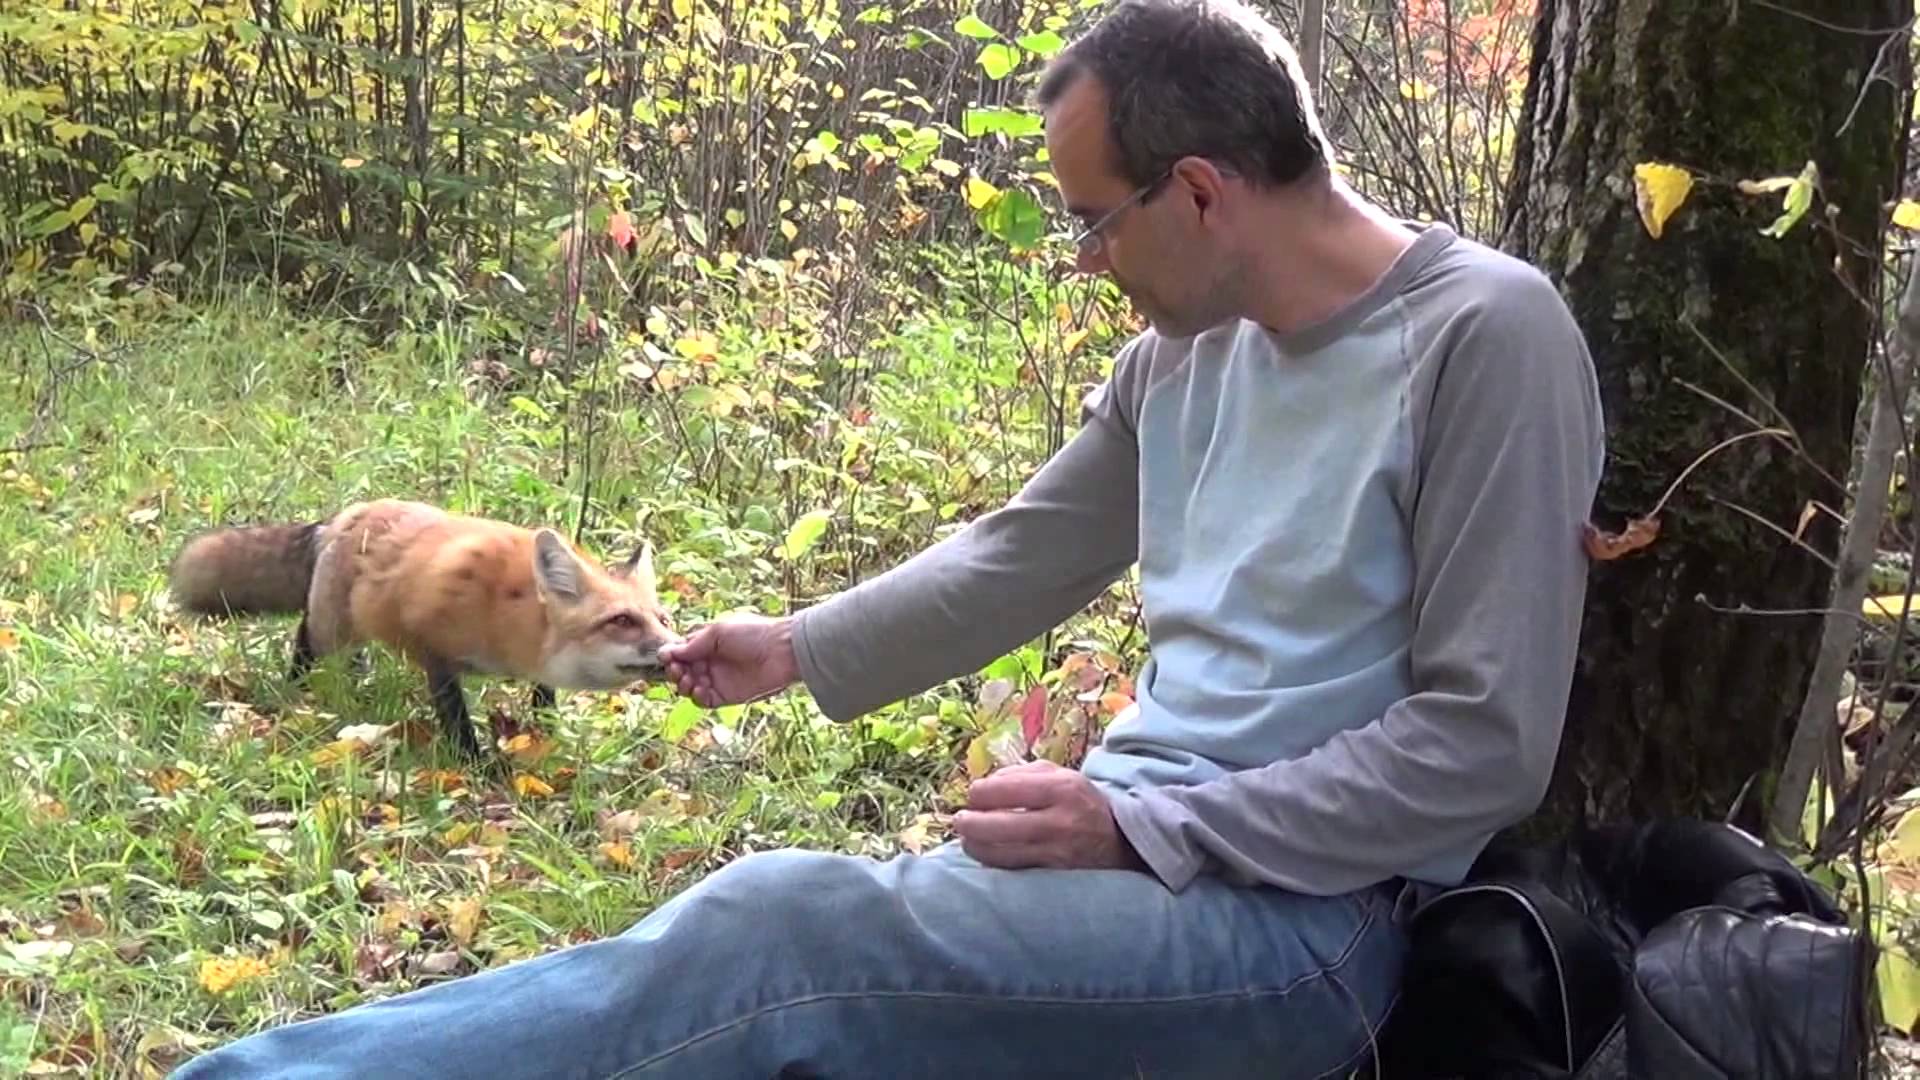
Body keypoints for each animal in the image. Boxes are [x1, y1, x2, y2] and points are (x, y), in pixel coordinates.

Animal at [168, 498, 683, 760]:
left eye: (662, 619)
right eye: (620, 621)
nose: (675, 647)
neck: (510, 618)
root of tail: (344, 514)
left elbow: (543, 698)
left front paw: (545, 731)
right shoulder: (433, 648)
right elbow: (455, 718)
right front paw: (474, 765)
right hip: (333, 630)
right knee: (304, 639)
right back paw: (298, 688)